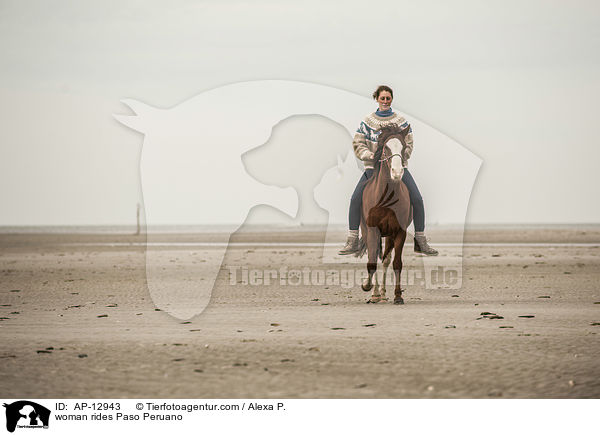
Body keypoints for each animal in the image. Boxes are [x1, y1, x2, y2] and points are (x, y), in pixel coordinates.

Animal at [356, 124, 412, 304]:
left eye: (403, 146)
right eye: (386, 147)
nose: (397, 172)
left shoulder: (400, 232)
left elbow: (396, 263)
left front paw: (398, 296)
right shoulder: (373, 230)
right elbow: (372, 260)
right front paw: (368, 288)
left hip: (389, 235)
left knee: (386, 260)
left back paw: (383, 292)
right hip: (368, 230)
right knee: (373, 256)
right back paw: (375, 292)